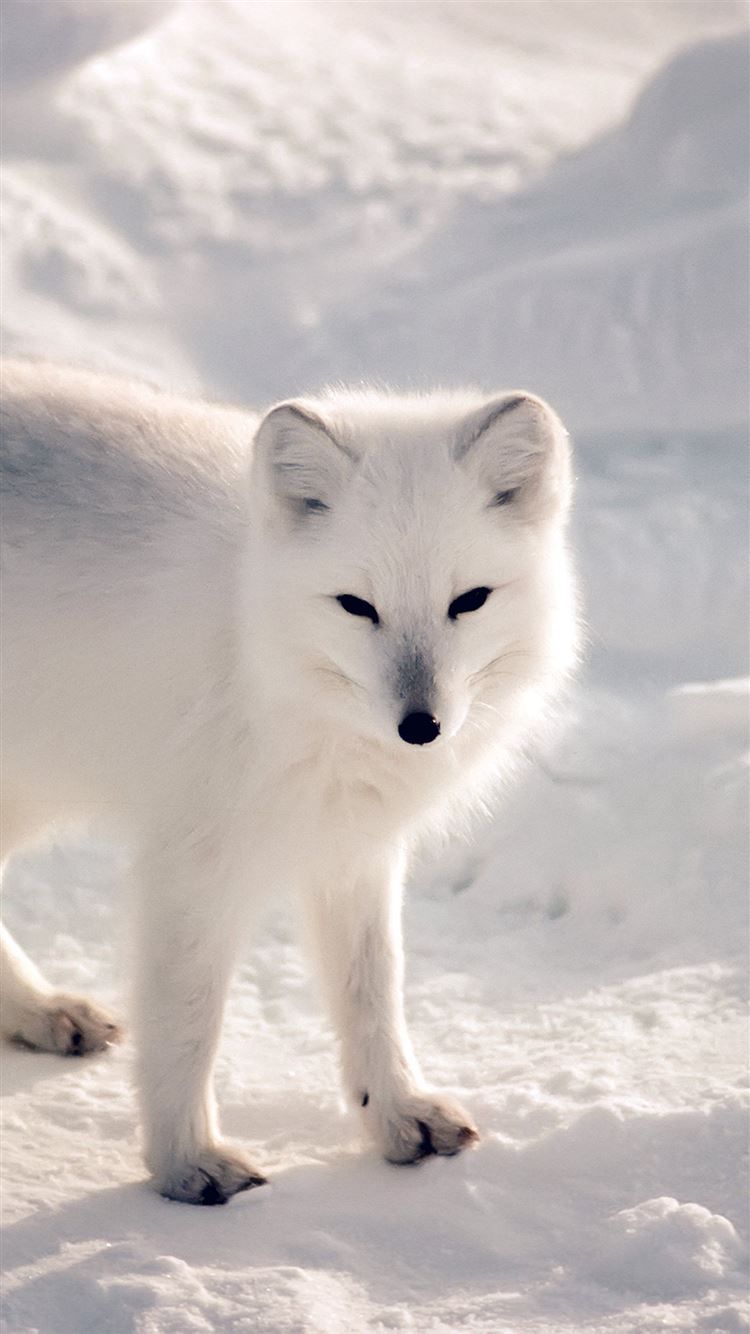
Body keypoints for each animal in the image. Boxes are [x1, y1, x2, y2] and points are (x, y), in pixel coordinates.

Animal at [0, 365, 573, 1211]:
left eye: (469, 600)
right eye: (356, 606)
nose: (421, 726)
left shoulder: (353, 848)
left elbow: (373, 989)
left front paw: (396, 1114)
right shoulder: (192, 865)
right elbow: (187, 1022)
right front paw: (186, 1163)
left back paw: (38, 1012)